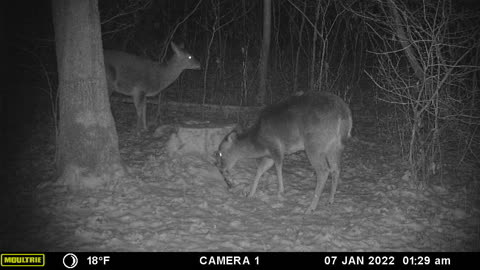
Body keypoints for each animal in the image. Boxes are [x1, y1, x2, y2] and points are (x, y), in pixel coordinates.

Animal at [216, 92, 350, 214]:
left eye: (220, 153)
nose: (220, 168)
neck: (259, 142)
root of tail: (344, 114)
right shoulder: (269, 154)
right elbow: (260, 169)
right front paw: (250, 194)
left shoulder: (275, 147)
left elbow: (278, 166)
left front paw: (280, 191)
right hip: (335, 146)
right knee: (336, 169)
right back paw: (330, 200)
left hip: (314, 144)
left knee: (324, 170)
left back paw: (310, 208)